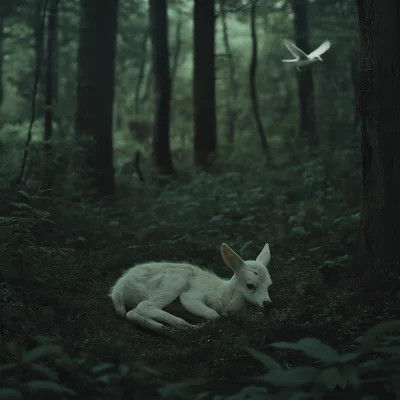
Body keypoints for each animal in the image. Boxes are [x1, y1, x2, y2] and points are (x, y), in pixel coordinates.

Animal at [109, 242, 272, 332]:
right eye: (250, 285)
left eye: (269, 284)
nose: (268, 304)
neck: (226, 297)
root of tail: (117, 291)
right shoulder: (193, 295)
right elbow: (214, 314)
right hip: (174, 282)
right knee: (144, 306)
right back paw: (189, 327)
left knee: (132, 313)